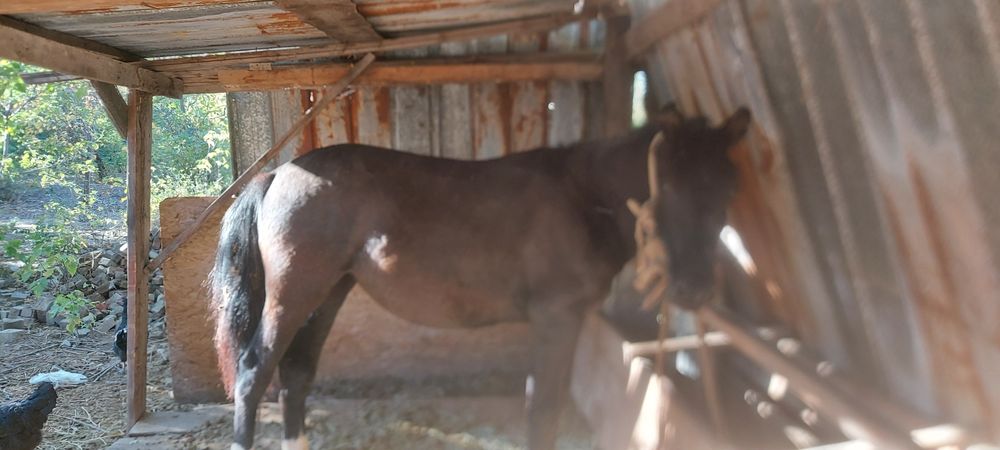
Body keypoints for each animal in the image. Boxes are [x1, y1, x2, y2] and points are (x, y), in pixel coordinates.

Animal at [209, 105, 751, 450]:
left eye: (728, 188)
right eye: (668, 185)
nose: (694, 289)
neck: (584, 195)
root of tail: (277, 174)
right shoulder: (557, 318)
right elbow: (542, 409)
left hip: (328, 292)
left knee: (297, 373)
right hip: (293, 294)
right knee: (255, 372)